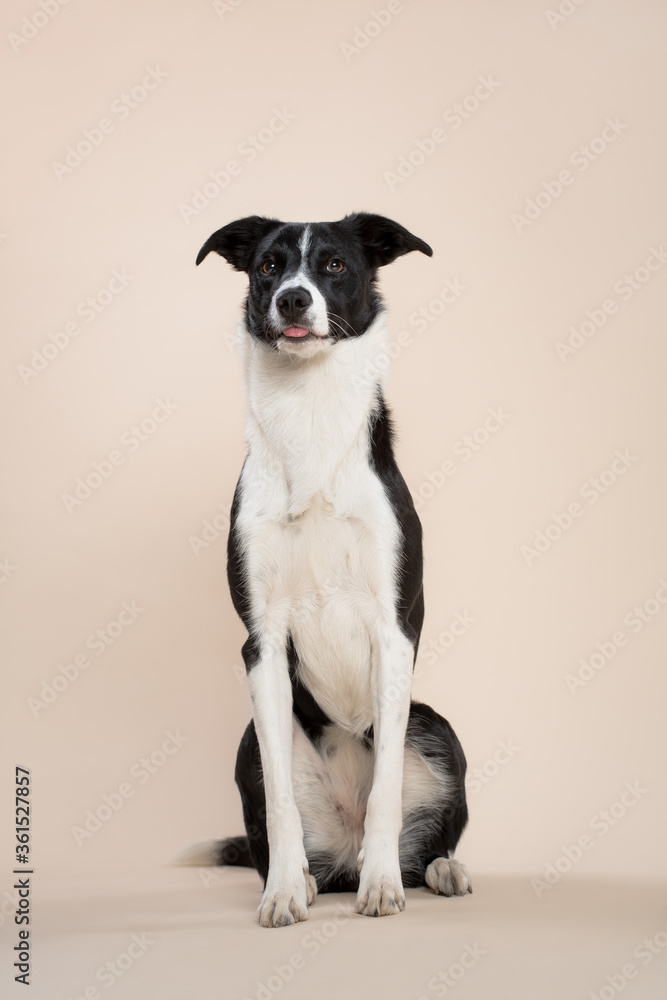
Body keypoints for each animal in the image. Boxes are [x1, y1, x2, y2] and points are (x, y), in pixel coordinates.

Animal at [185, 215, 472, 924]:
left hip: (434, 722)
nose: (293, 298)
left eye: (336, 266)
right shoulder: (261, 644)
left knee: (424, 841)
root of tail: (339, 851)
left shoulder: (395, 631)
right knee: (277, 828)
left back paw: (430, 870)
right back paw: (308, 879)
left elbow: (388, 787)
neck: (308, 411)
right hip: (249, 740)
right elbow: (281, 803)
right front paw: (284, 892)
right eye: (269, 266)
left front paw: (382, 887)